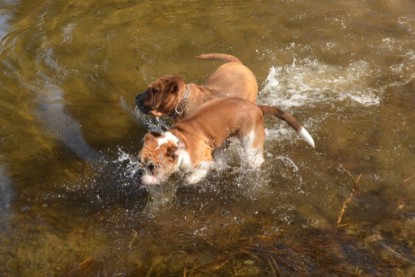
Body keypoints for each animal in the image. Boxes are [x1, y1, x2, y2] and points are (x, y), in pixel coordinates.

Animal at [136, 96, 316, 184]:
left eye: (152, 166)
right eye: (140, 162)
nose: (139, 173)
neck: (179, 140)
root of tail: (257, 107)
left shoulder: (204, 161)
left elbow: (195, 175)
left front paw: (191, 179)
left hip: (250, 145)